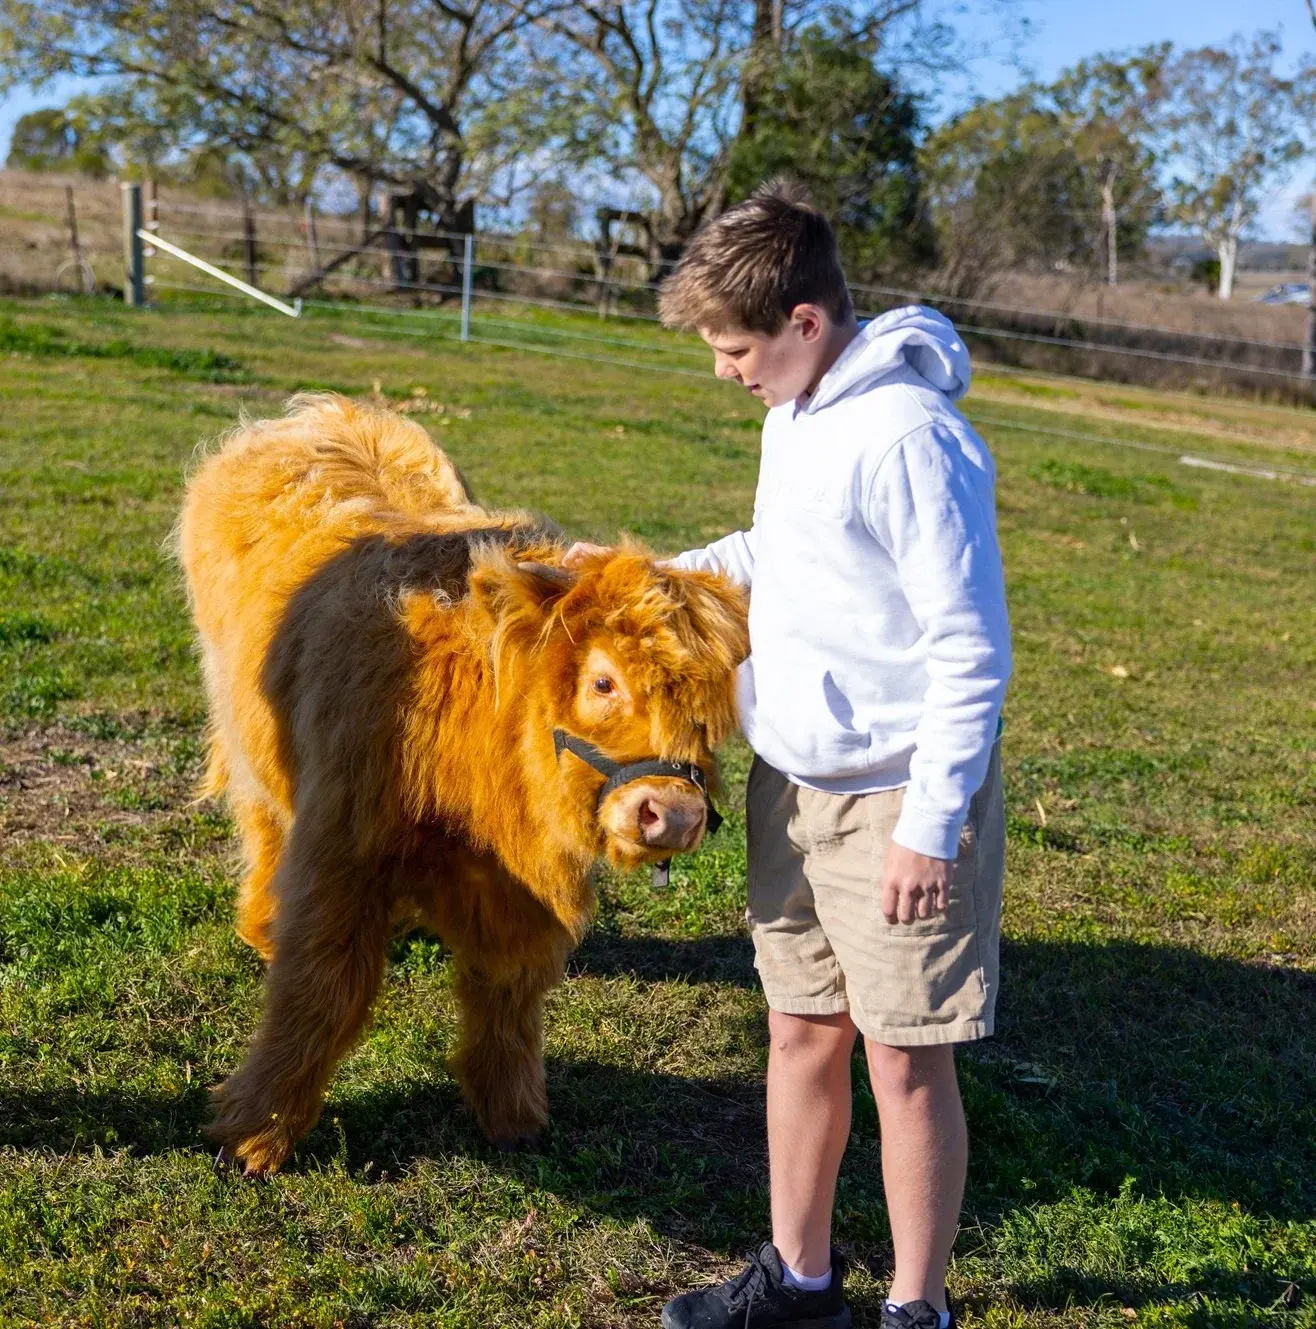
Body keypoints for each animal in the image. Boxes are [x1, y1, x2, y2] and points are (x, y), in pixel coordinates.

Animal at [176, 393, 748, 1175]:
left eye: (708, 711)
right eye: (603, 681)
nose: (676, 814)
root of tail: (315, 413)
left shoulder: (520, 887)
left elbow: (507, 989)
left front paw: (511, 1115)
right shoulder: (341, 848)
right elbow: (321, 988)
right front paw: (254, 1132)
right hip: (248, 739)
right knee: (263, 828)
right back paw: (263, 925)